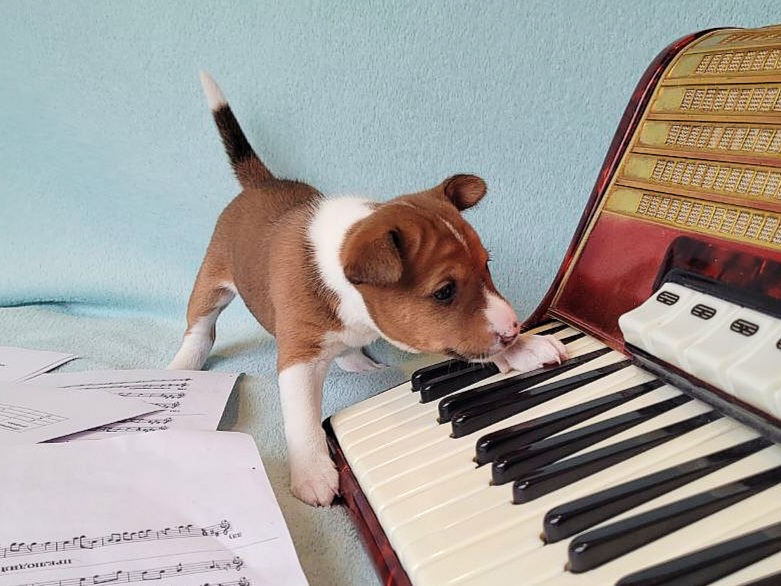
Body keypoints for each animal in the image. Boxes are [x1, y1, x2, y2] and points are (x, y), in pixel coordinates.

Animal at [169, 72, 569, 506]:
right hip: (212, 278)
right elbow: (302, 418)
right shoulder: (299, 356)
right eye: (444, 292)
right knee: (201, 328)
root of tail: (263, 182)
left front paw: (526, 347)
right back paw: (182, 366)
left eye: (487, 265)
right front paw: (313, 472)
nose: (514, 328)